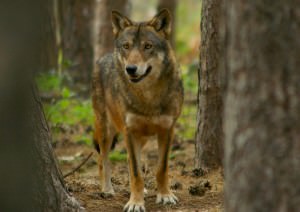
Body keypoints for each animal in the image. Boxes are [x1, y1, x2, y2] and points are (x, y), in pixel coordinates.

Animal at [92, 8, 184, 212]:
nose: (131, 69)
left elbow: (161, 168)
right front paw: (135, 203)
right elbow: (136, 173)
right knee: (103, 160)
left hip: (140, 138)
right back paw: (107, 190)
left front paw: (165, 195)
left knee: (128, 159)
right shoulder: (130, 131)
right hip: (107, 131)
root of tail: (103, 58)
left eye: (148, 46)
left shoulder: (167, 130)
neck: (147, 97)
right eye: (126, 46)